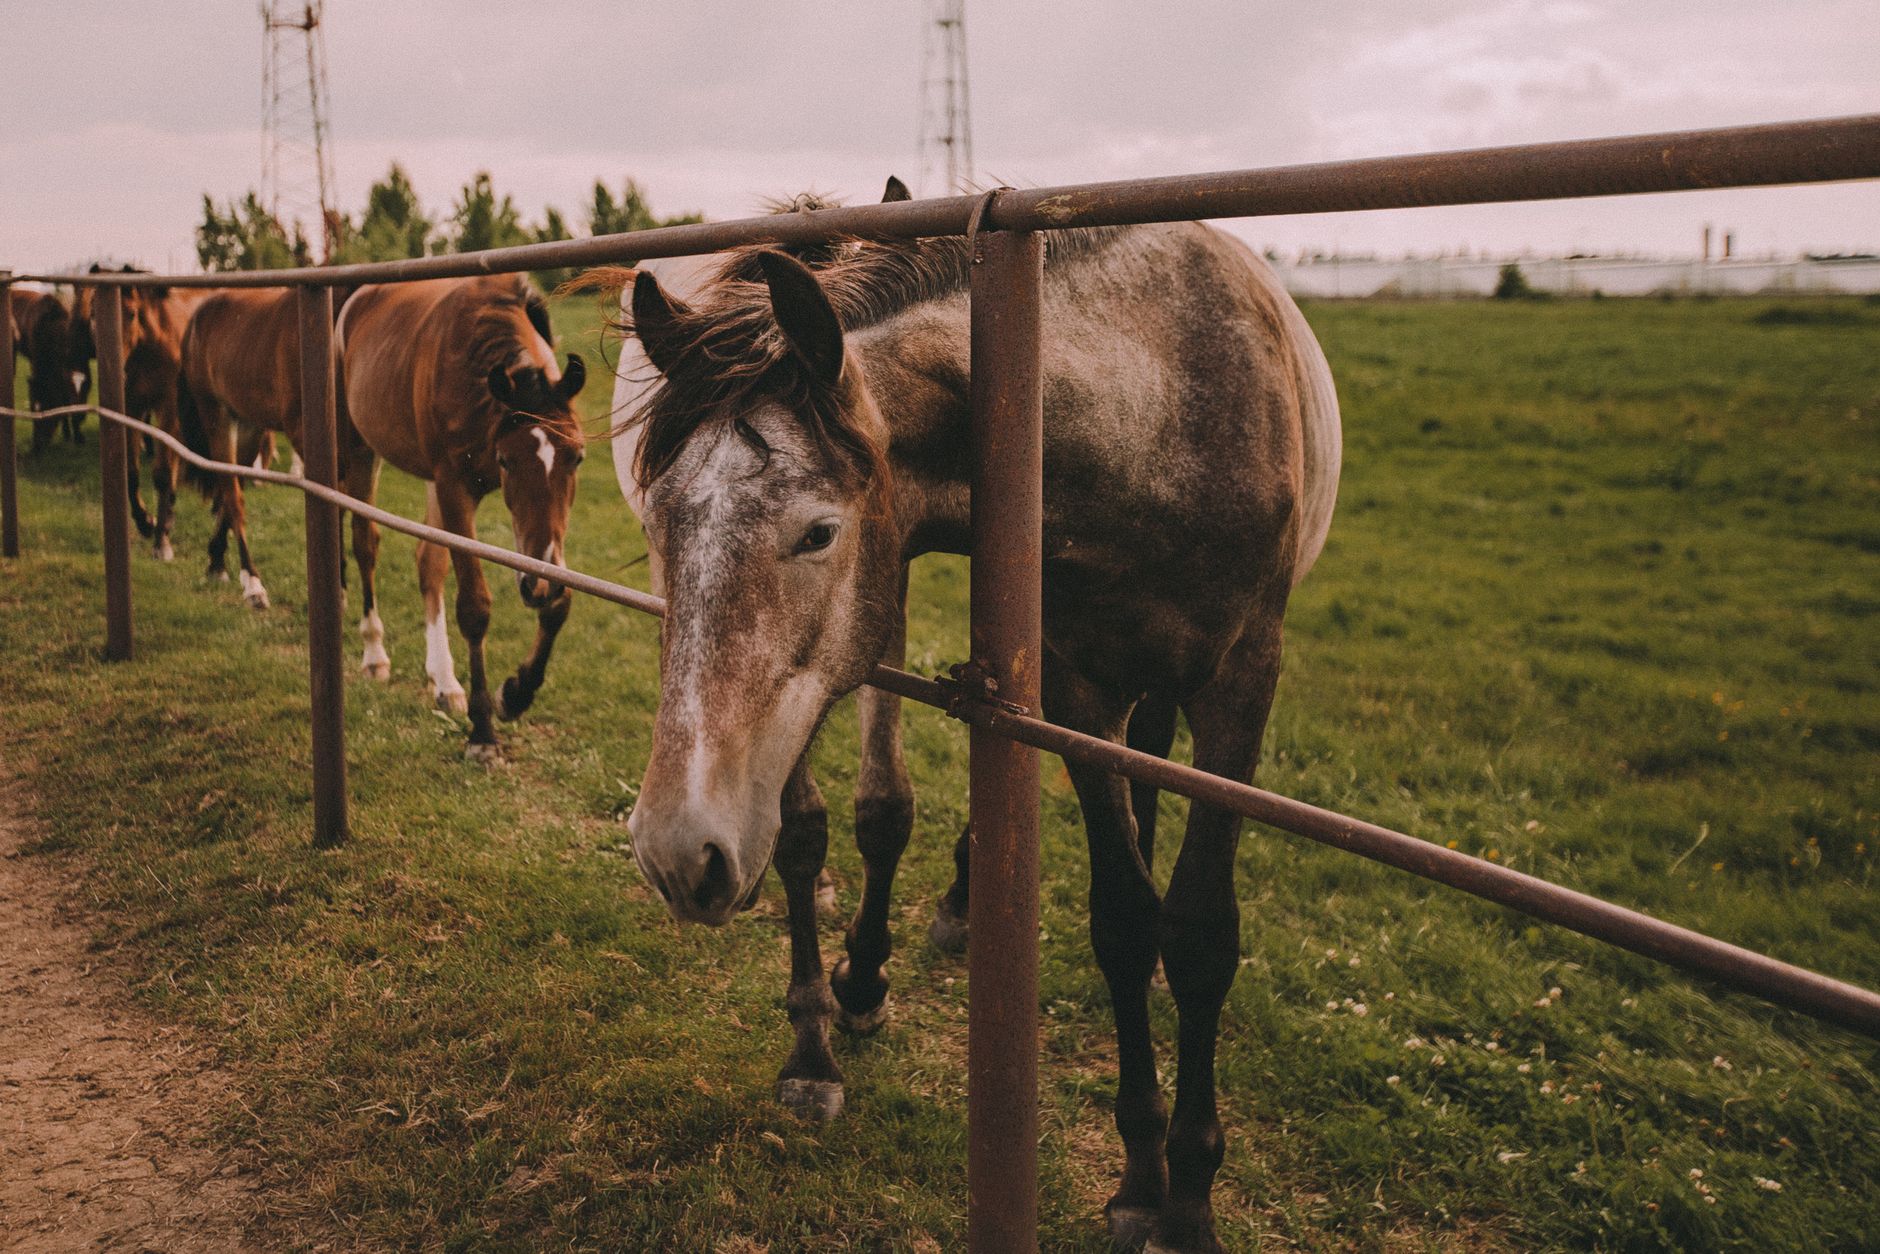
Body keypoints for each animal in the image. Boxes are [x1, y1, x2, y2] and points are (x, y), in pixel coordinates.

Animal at [175, 288, 313, 605]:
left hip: (250, 428)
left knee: (232, 490)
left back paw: (217, 562)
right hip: (218, 418)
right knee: (232, 494)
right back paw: (252, 583)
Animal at [335, 274, 587, 762]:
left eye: (577, 457)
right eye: (507, 461)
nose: (537, 584)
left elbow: (560, 603)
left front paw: (516, 693)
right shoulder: (455, 489)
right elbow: (474, 607)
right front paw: (483, 732)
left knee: (427, 564)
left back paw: (444, 681)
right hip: (356, 450)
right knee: (362, 541)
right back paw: (373, 653)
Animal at [607, 180, 1341, 1253]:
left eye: (818, 532)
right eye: (659, 522)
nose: (674, 852)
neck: (1159, 406)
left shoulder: (1242, 688)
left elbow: (1199, 934)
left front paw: (1190, 1201)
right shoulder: (1072, 686)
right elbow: (1124, 921)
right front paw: (1140, 1176)